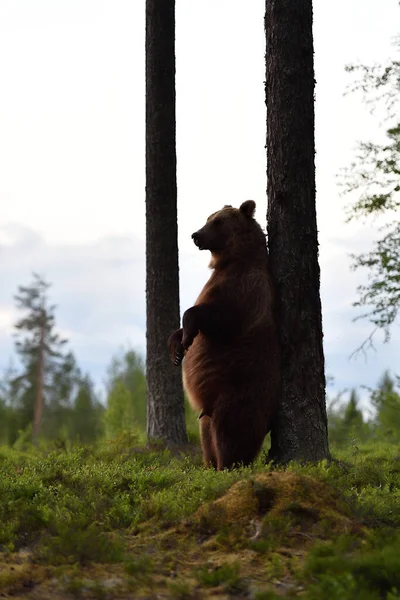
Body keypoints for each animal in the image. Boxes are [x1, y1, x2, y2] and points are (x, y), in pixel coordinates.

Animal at [167, 199, 280, 472]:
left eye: (218, 222)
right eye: (208, 218)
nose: (195, 235)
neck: (229, 262)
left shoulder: (245, 290)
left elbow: (218, 317)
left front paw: (188, 335)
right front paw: (176, 349)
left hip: (237, 393)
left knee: (230, 431)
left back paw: (227, 466)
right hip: (206, 413)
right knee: (207, 437)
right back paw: (209, 466)